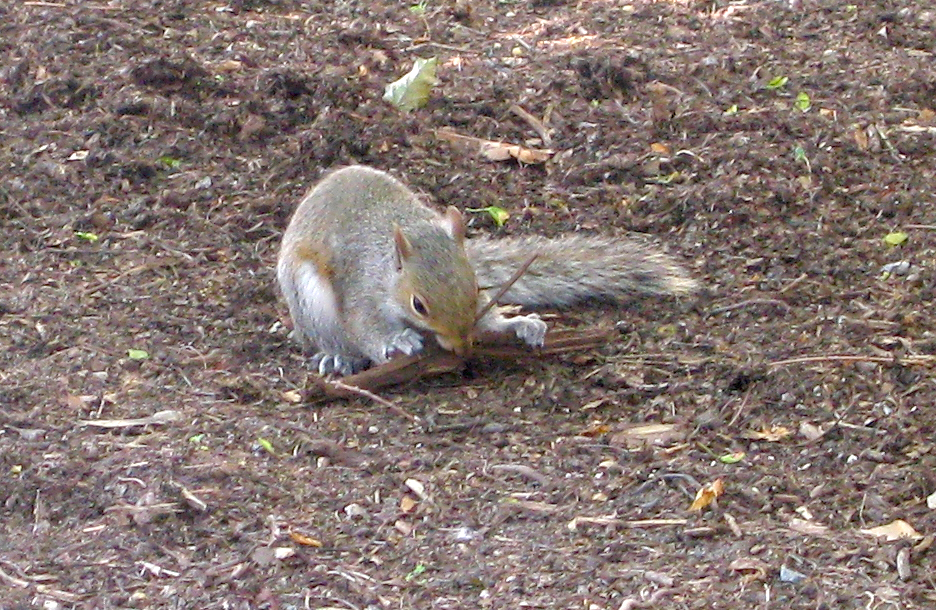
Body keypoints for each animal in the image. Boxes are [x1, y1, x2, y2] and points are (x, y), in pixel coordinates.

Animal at [277, 165, 697, 376]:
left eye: (477, 288)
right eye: (419, 305)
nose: (462, 347)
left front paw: (516, 325)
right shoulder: (361, 288)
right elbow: (364, 328)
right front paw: (396, 341)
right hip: (308, 299)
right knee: (327, 336)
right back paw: (339, 358)